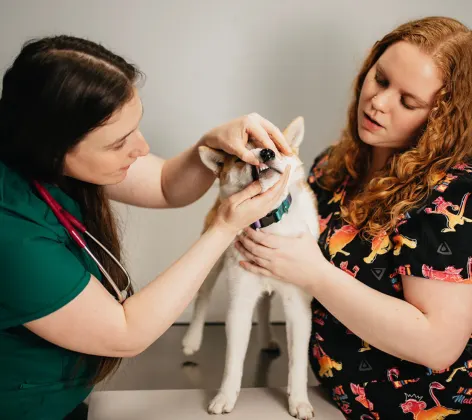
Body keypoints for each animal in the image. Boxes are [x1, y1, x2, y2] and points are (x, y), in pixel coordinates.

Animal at [183, 116, 318, 418]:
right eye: (238, 157)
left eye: (275, 146)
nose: (265, 153)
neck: (269, 223)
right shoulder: (239, 305)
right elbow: (233, 361)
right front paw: (225, 396)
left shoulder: (297, 307)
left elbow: (297, 363)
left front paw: (299, 400)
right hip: (211, 261)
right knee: (202, 297)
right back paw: (192, 339)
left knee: (265, 307)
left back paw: (267, 339)